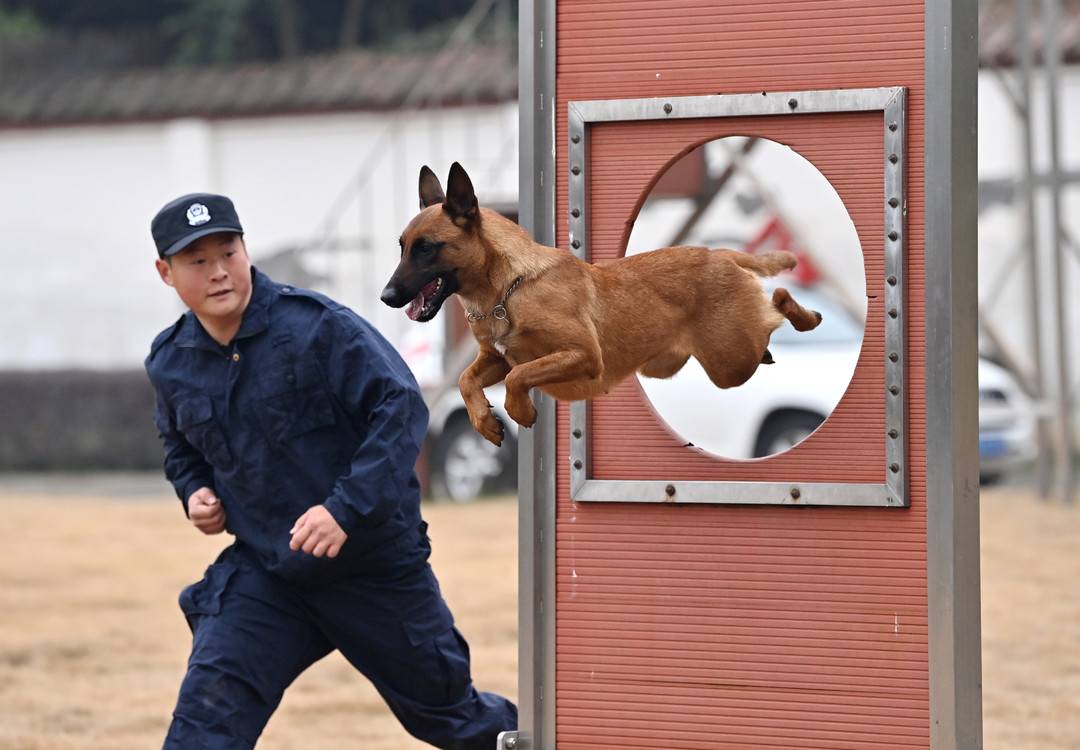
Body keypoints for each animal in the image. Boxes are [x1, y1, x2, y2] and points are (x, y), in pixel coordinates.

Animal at [380, 163, 816, 447]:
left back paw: (804, 315)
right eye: (401, 247)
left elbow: (520, 376)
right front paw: (485, 421)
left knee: (776, 305)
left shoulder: (582, 354)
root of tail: (721, 253)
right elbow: (466, 379)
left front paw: (519, 412)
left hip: (729, 362)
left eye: (426, 249)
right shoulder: (496, 358)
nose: (386, 297)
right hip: (697, 363)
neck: (509, 290)